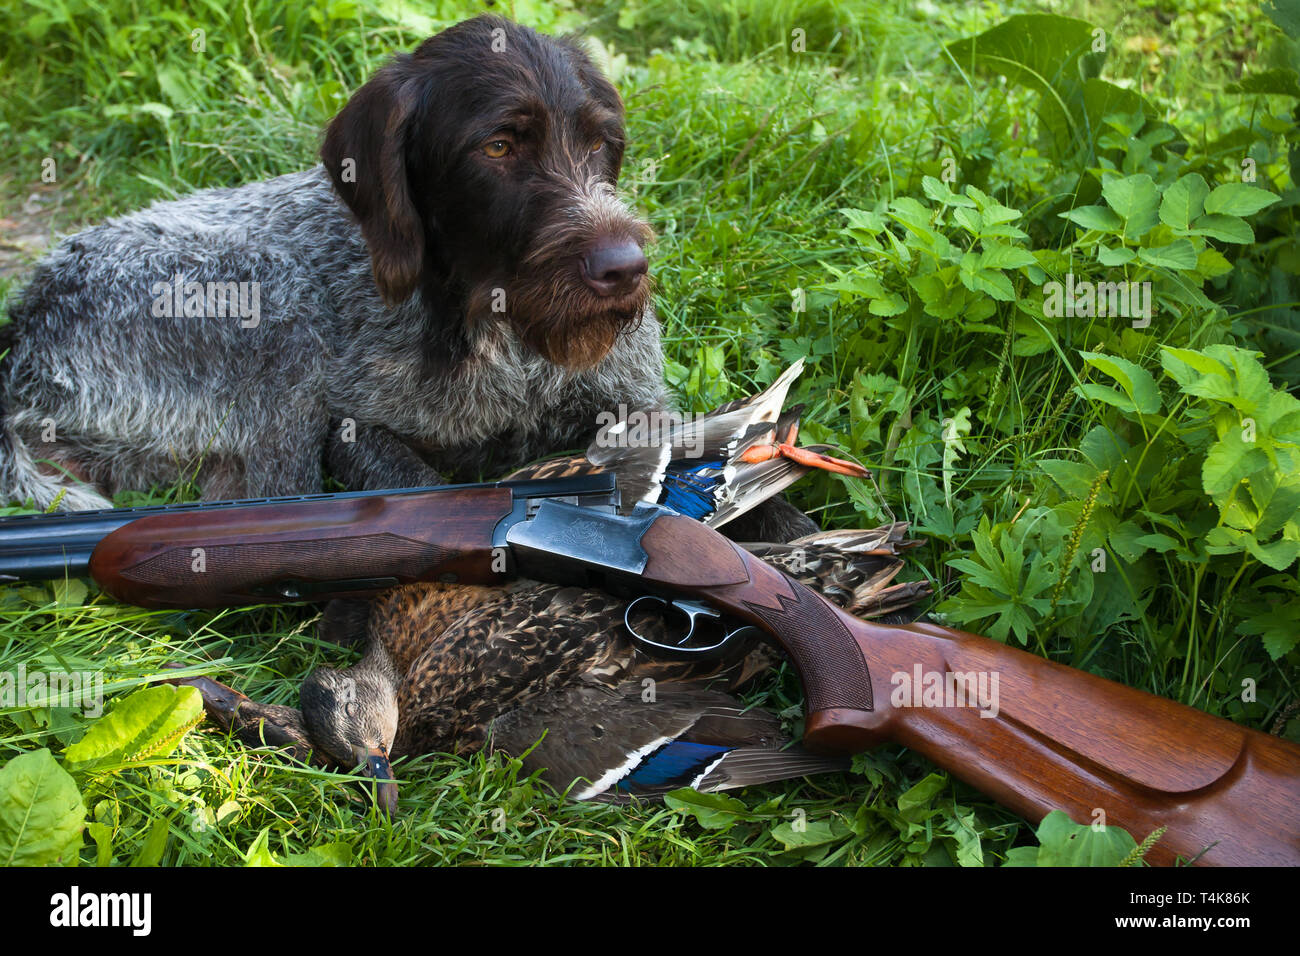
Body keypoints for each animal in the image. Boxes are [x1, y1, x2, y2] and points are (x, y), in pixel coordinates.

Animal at [0, 14, 811, 541]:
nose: (625, 270)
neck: (499, 331)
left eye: (599, 142)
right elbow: (420, 489)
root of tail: (23, 338)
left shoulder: (637, 400)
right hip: (272, 299)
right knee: (266, 494)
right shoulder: (351, 430)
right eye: (498, 147)